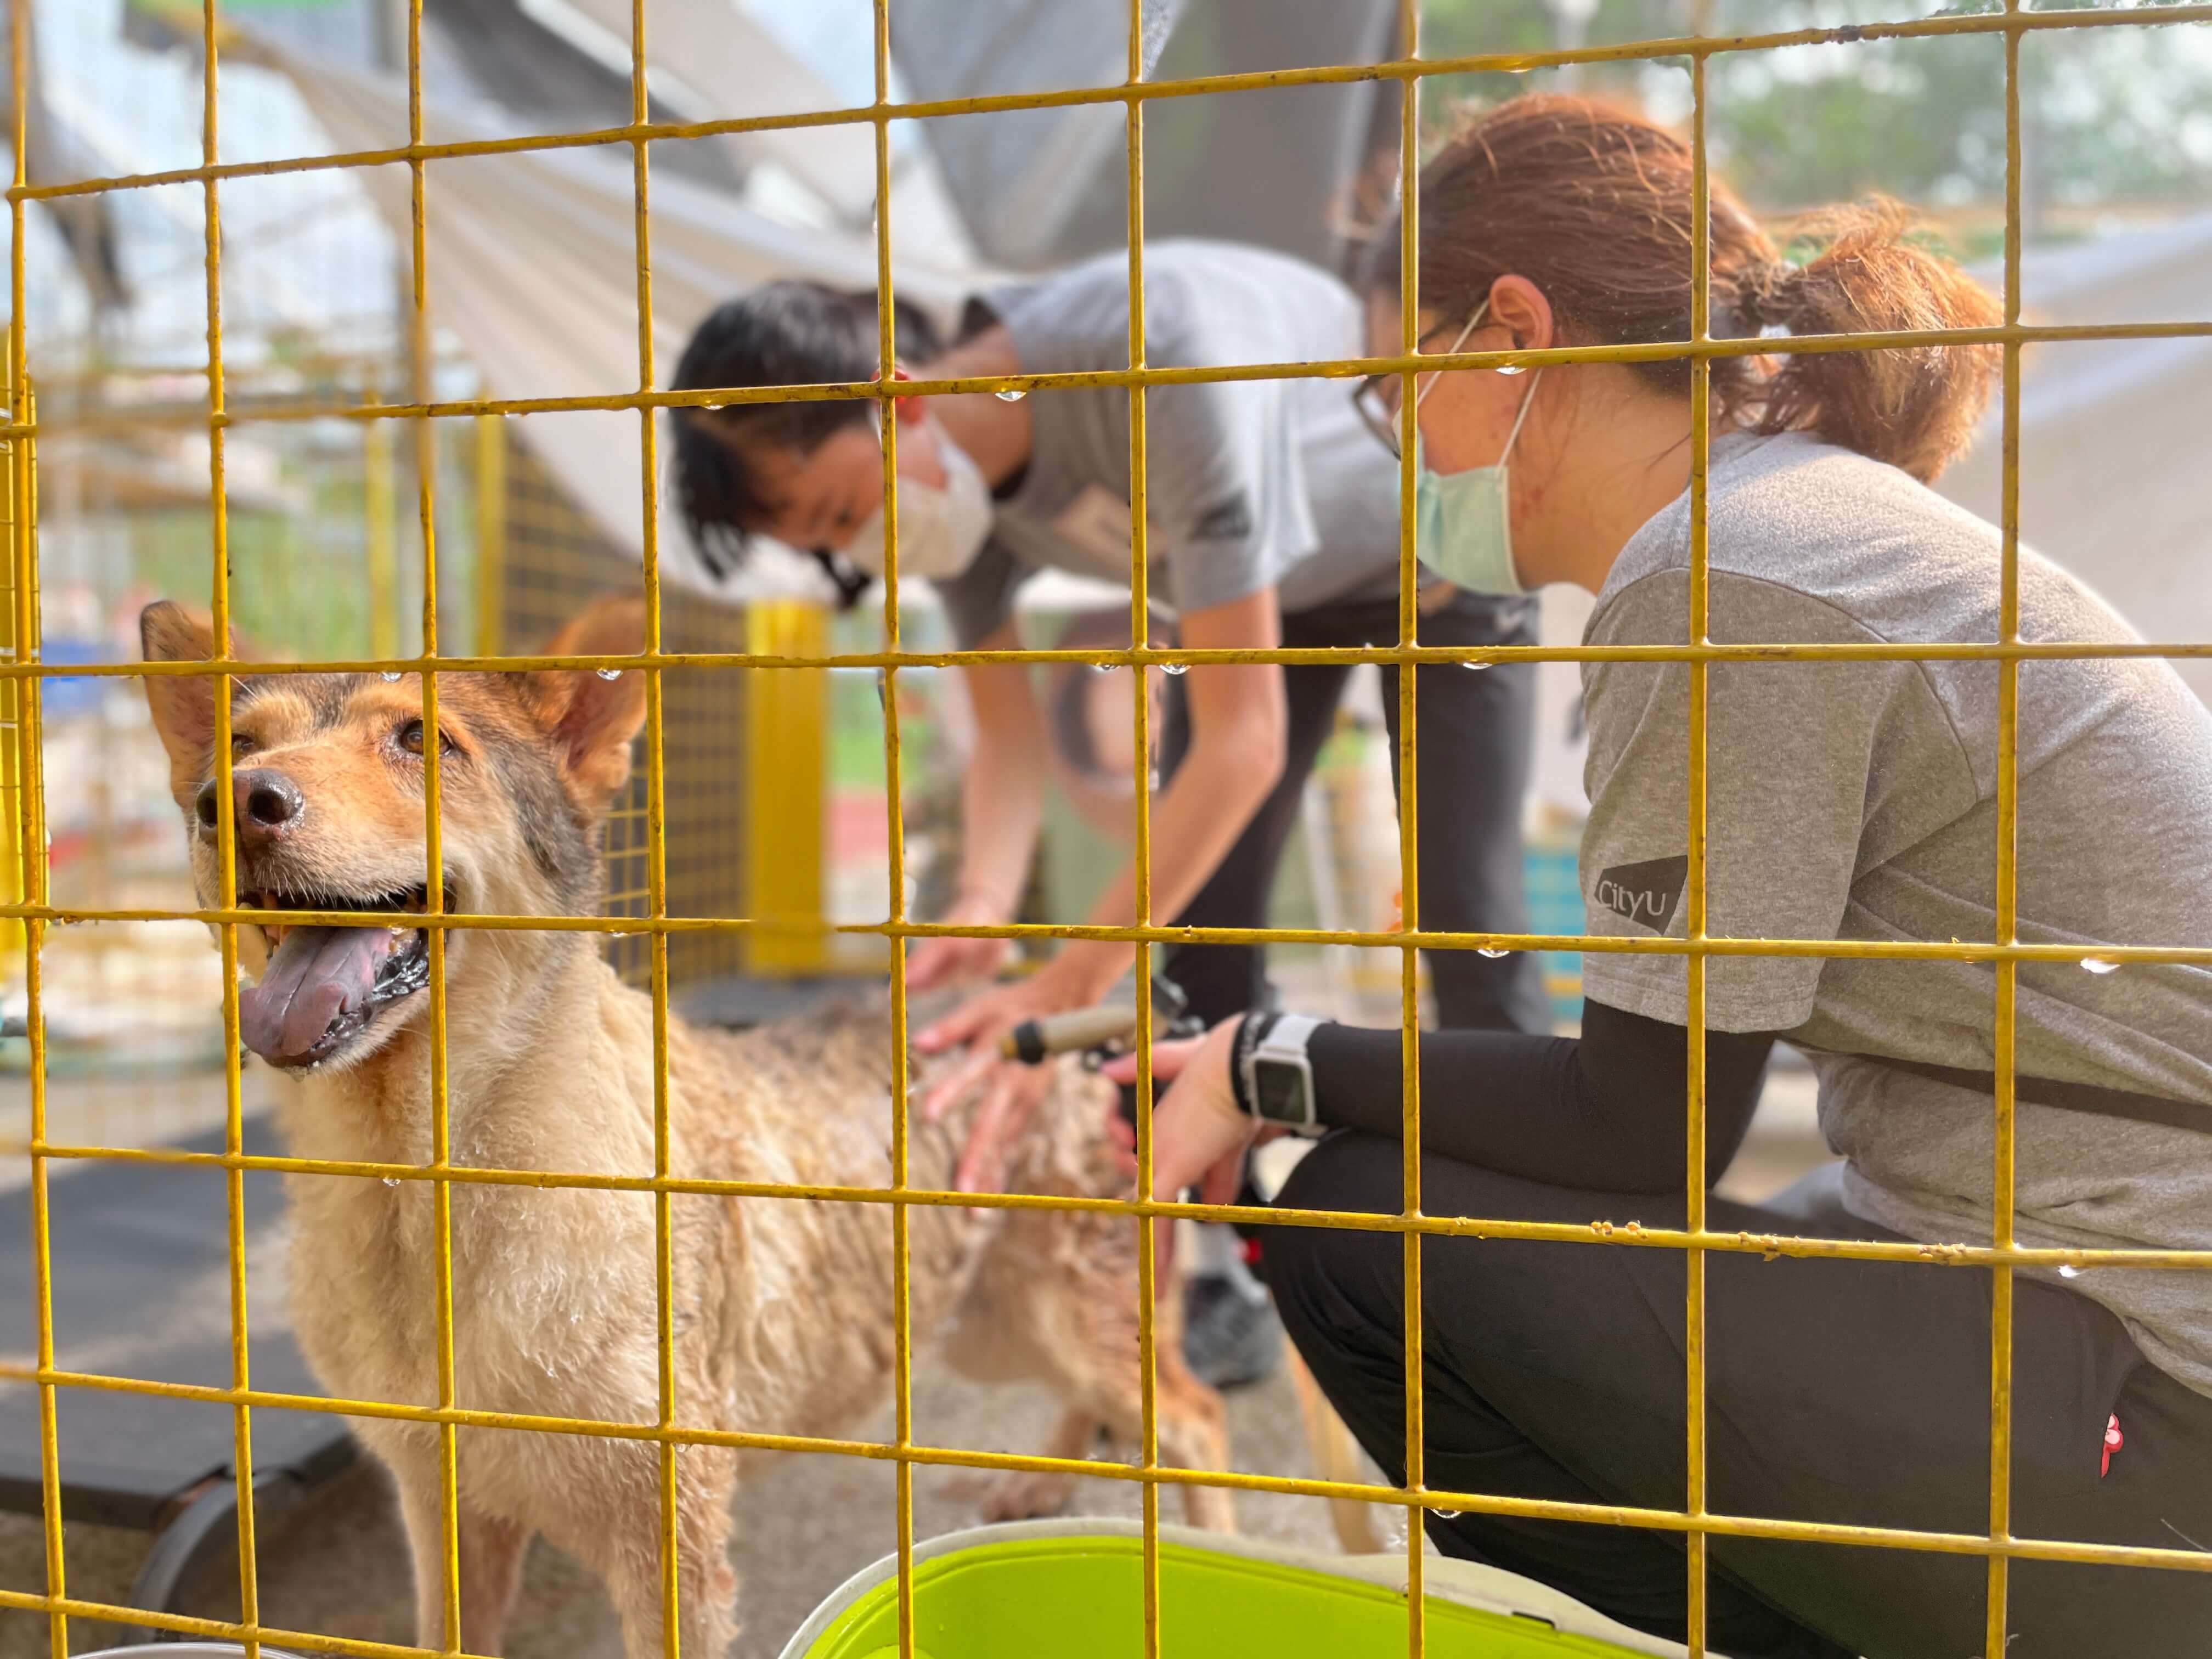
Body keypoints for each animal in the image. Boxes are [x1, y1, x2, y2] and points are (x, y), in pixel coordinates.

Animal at [139, 596, 1233, 1659]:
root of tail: (1051, 1000)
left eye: (420, 737)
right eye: (242, 742)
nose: (237, 801)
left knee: (1192, 1418)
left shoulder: (671, 1537)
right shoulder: (444, 1509)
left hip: (1051, 1315)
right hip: (989, 1323)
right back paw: (1048, 1495)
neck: (427, 1188)